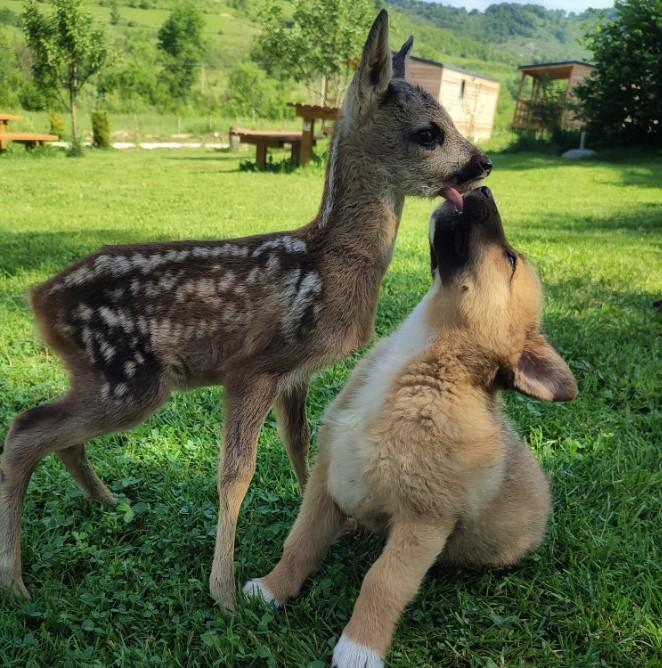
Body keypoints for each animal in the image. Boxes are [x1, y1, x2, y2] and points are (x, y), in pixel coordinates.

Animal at [246, 185, 580, 664]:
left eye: (510, 259)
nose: (484, 187)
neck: (422, 358)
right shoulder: (326, 481)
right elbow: (301, 543)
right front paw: (273, 588)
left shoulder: (422, 522)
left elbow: (382, 582)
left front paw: (359, 645)